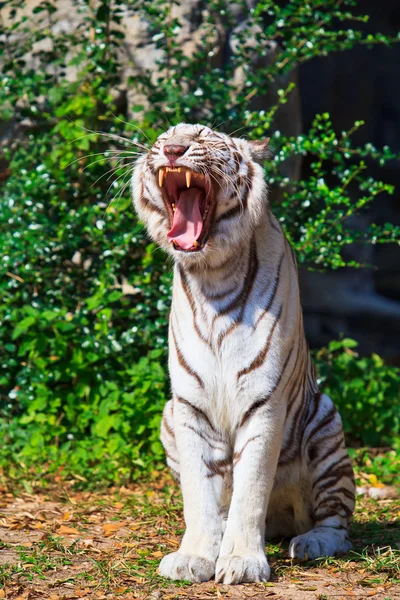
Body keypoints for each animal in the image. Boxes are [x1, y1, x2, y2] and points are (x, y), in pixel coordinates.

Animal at [131, 123, 354, 584]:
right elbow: (199, 493)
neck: (211, 274)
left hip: (326, 425)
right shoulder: (190, 406)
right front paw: (195, 556)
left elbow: (250, 489)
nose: (173, 149)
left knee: (337, 521)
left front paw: (243, 563)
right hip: (167, 417)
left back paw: (311, 543)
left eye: (201, 136)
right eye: (164, 137)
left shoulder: (263, 400)